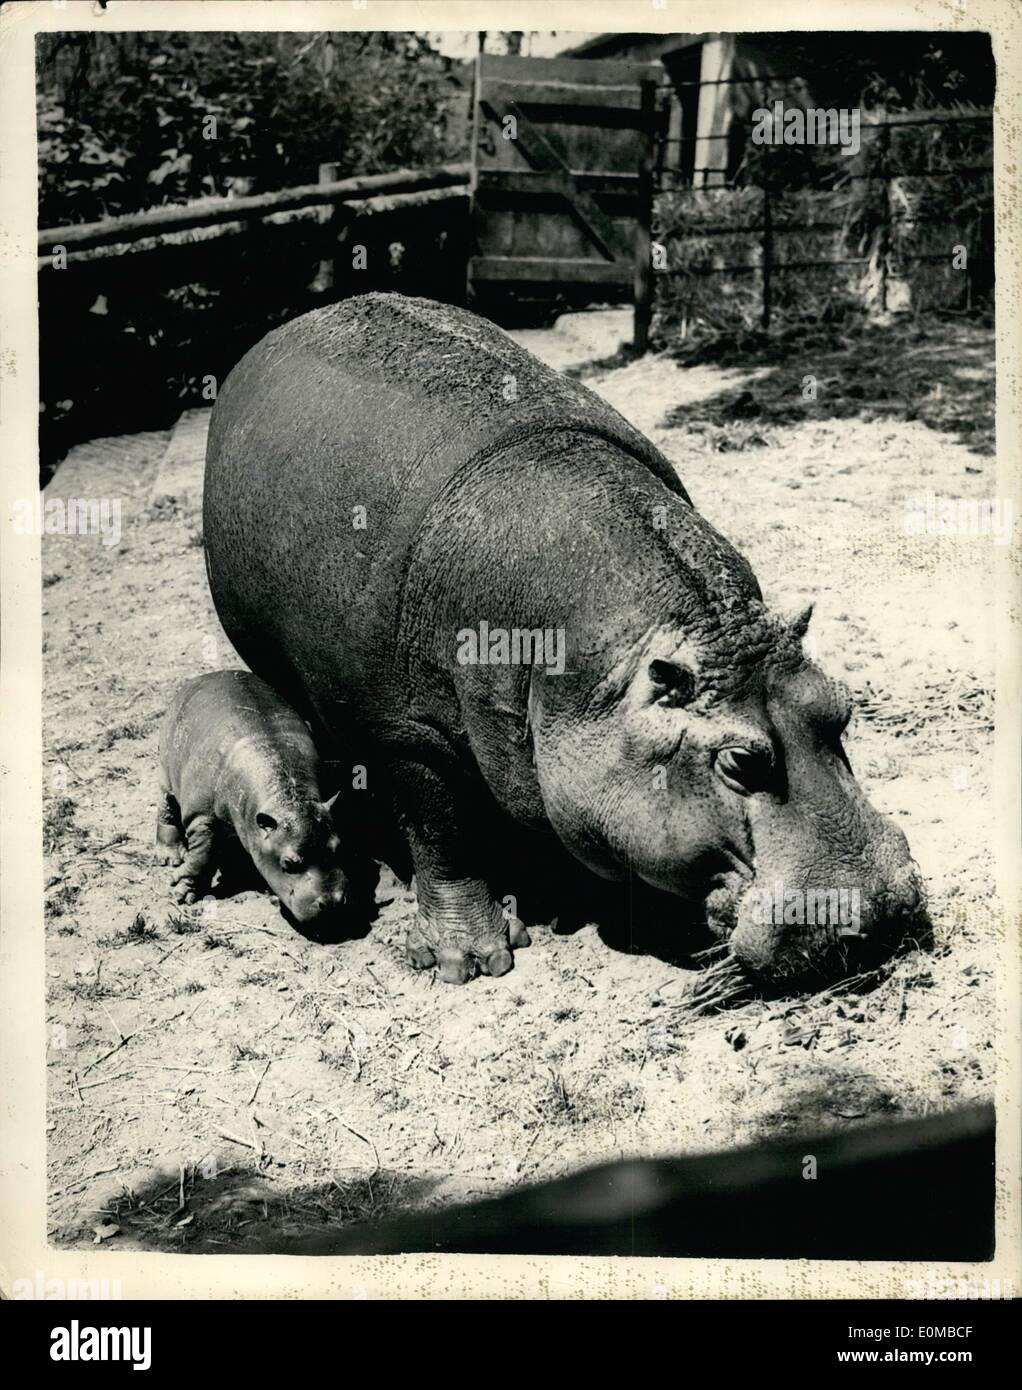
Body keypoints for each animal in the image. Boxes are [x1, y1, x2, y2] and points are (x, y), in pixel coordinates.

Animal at [156, 670, 354, 924]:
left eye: (338, 848)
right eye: (288, 863)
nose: (331, 904)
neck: (286, 797)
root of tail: (202, 677)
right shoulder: (202, 818)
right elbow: (201, 857)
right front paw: (183, 893)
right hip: (166, 774)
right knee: (166, 809)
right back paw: (171, 857)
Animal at [203, 293, 926, 985]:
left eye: (843, 707)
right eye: (741, 760)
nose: (882, 913)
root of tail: (291, 325)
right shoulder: (404, 735)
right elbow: (442, 834)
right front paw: (471, 962)